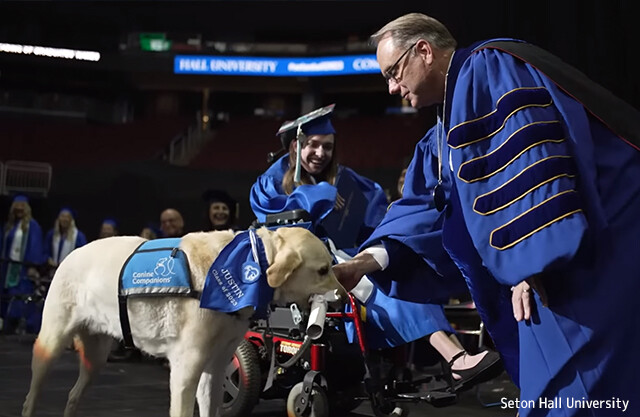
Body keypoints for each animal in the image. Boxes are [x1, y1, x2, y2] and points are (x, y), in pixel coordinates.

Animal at [21, 228, 344, 416]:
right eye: (323, 270)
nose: (344, 296)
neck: (250, 261)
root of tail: (71, 253)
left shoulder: (215, 369)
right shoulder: (185, 370)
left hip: (96, 358)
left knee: (73, 394)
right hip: (50, 345)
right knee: (31, 395)